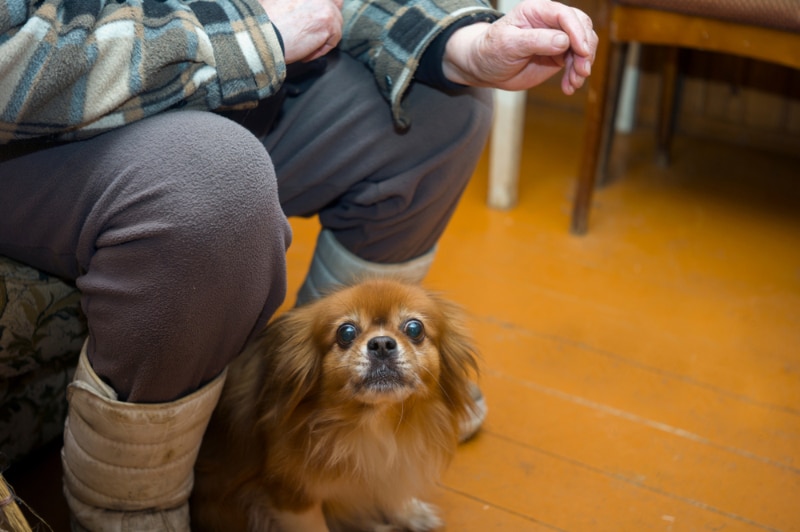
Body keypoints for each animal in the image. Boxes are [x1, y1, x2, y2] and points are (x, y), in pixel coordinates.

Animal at [192, 278, 482, 532]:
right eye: (346, 332)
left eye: (414, 329)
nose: (381, 343)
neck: (377, 424)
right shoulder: (290, 495)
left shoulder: (389, 466)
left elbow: (387, 489)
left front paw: (409, 512)